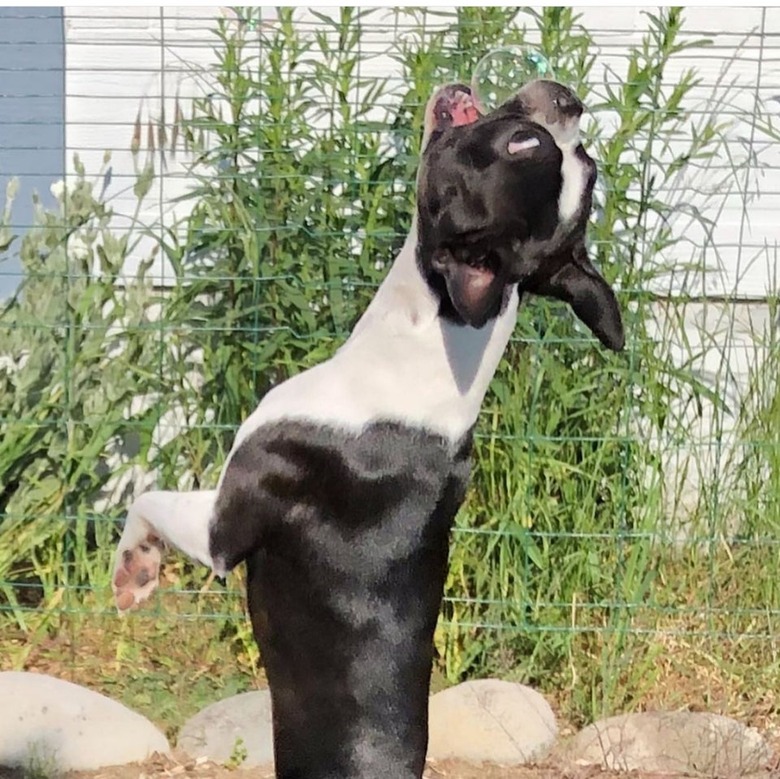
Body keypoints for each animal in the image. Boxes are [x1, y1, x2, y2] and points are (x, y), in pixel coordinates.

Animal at [114, 80, 620, 779]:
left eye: (522, 143)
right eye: (582, 162)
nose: (569, 99)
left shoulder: (223, 528)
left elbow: (146, 498)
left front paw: (134, 571)